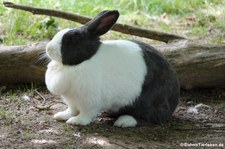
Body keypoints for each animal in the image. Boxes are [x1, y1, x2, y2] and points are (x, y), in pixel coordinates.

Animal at [44, 10, 180, 127]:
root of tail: (174, 98)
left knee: (150, 118)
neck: (85, 59)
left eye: (73, 39)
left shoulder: (89, 101)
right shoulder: (72, 102)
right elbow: (71, 110)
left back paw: (124, 121)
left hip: (148, 102)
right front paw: (61, 115)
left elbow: (86, 114)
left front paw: (76, 121)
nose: (48, 48)